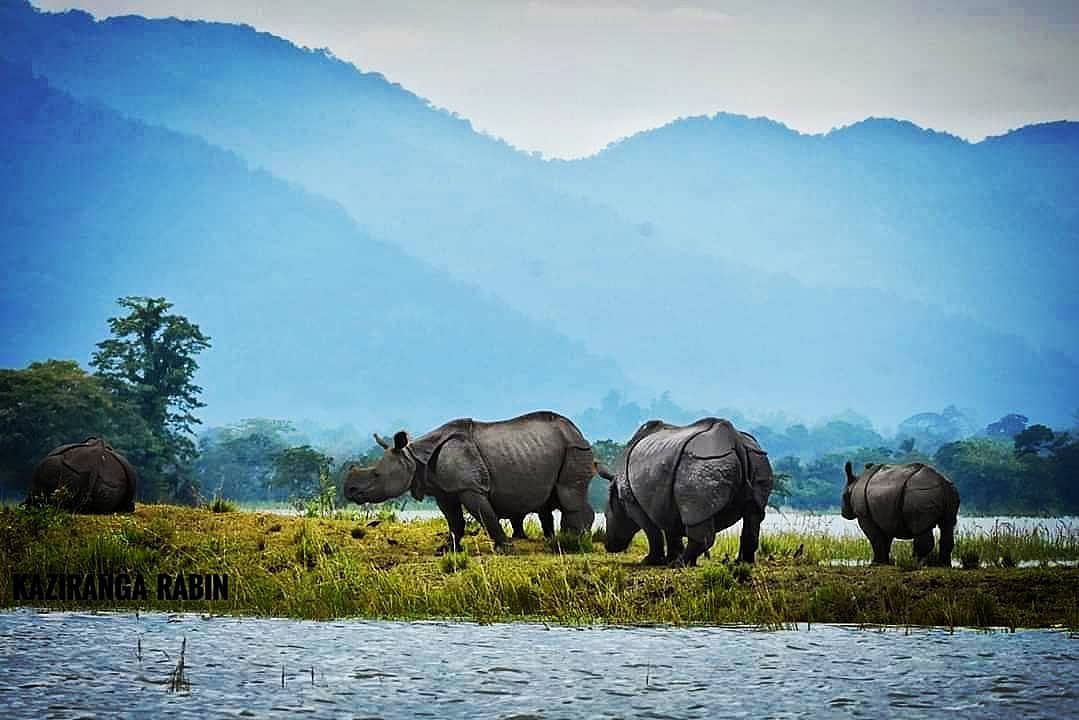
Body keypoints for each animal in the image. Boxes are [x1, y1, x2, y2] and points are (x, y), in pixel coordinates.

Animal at [344, 411, 595, 553]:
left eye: (376, 475)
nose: (349, 490)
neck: (415, 458)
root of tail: (578, 431)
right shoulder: (443, 490)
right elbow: (454, 520)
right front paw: (448, 549)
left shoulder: (470, 487)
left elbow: (484, 514)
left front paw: (505, 549)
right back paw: (561, 540)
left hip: (575, 448)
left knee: (568, 494)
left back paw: (572, 542)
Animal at [600, 417, 774, 567]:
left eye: (607, 516)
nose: (609, 546)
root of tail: (734, 439)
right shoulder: (665, 499)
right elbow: (671, 529)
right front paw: (670, 558)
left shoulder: (632, 501)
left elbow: (652, 530)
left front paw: (651, 561)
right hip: (757, 457)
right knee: (754, 513)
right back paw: (742, 563)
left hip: (702, 462)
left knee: (696, 516)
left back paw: (680, 564)